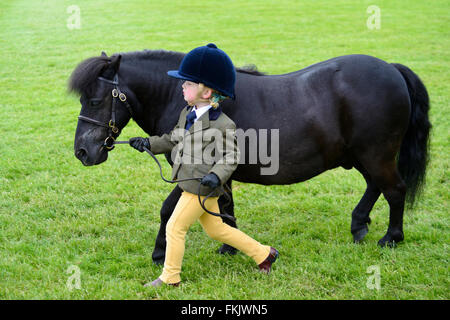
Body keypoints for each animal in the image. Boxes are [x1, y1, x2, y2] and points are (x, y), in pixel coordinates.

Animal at [68, 49, 430, 264]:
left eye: (95, 101)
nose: (82, 152)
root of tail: (392, 69)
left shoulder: (194, 173)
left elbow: (168, 209)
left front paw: (160, 252)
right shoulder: (216, 176)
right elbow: (224, 210)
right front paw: (230, 245)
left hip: (376, 154)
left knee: (394, 189)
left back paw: (391, 238)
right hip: (363, 156)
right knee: (376, 186)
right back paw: (359, 226)